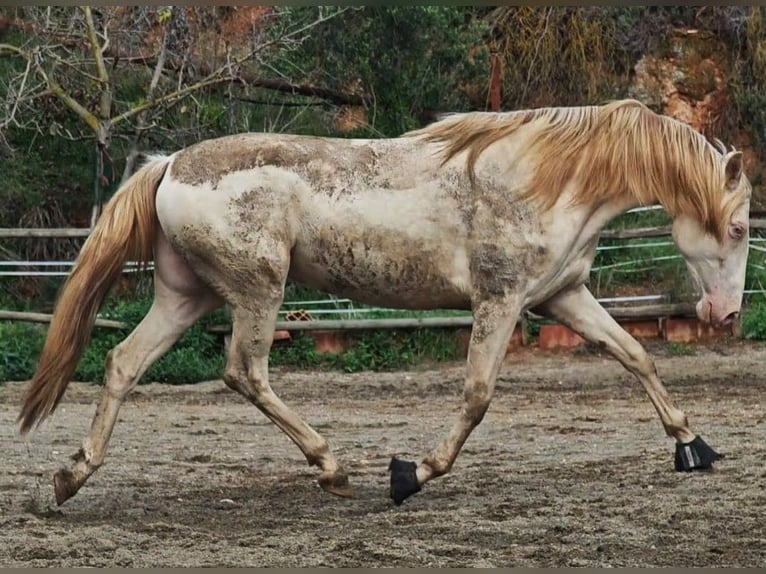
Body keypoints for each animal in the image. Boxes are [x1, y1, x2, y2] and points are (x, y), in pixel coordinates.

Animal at [19, 100, 756, 508]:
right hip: (258, 292)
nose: (724, 315)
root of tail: (169, 165)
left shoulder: (562, 297)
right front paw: (412, 475)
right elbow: (478, 395)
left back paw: (68, 479)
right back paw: (333, 467)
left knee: (122, 363)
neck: (545, 179)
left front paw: (694, 447)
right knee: (245, 372)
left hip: (186, 297)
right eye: (741, 227)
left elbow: (635, 357)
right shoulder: (500, 301)